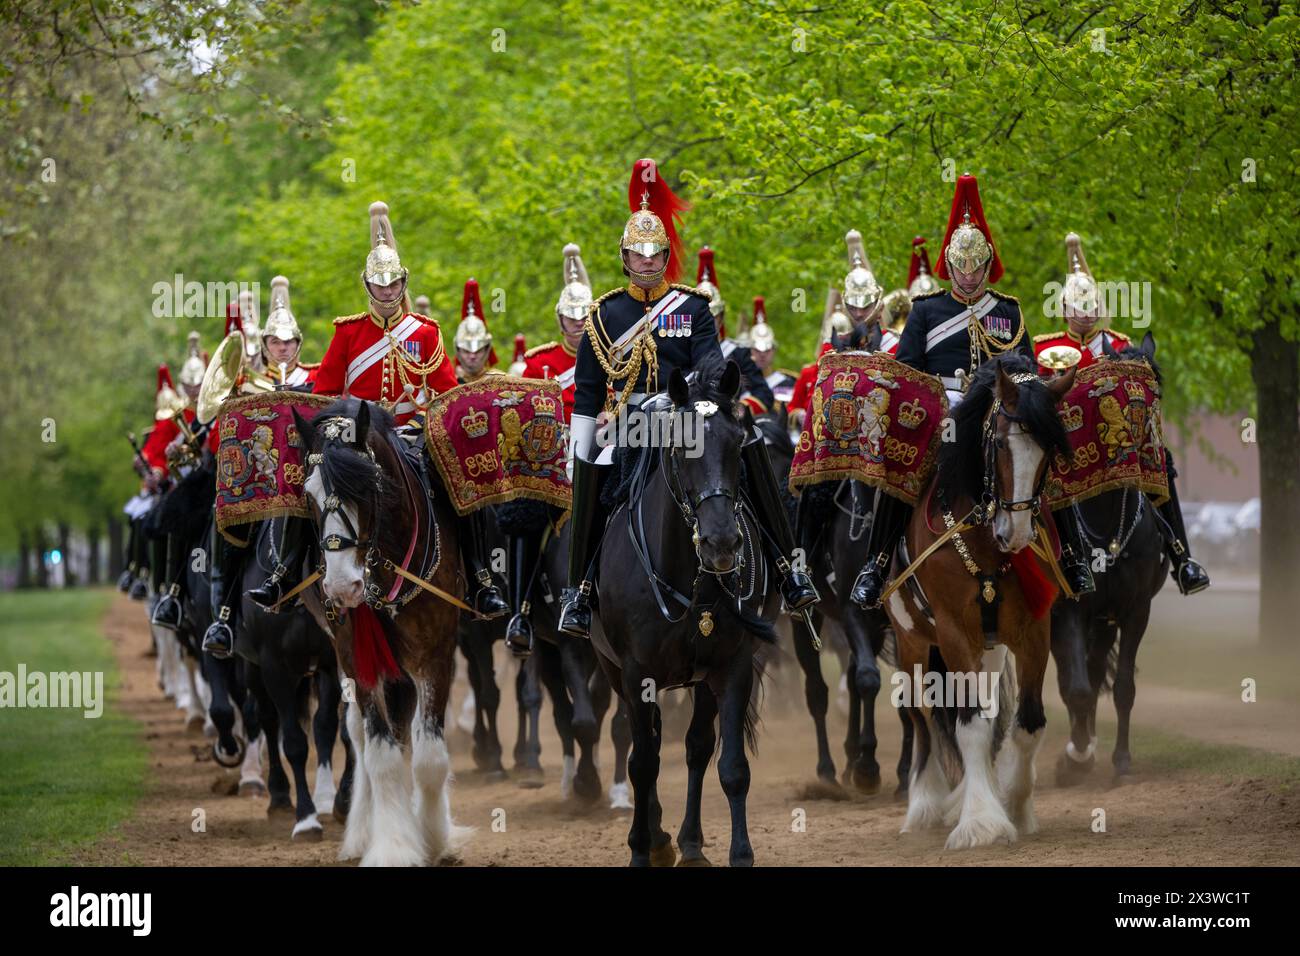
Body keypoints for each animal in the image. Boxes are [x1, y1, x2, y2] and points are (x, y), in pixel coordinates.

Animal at [296, 395, 473, 868]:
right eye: (308, 493)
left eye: (369, 486)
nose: (342, 587)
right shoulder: (359, 659)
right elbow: (381, 755)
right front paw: (393, 845)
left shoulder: (435, 656)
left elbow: (429, 758)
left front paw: (434, 837)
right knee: (360, 734)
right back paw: (362, 831)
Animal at [595, 358, 774, 868]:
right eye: (680, 446)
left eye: (738, 443)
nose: (723, 544)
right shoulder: (635, 672)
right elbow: (642, 762)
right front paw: (640, 849)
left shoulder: (732, 666)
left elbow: (730, 766)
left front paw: (740, 854)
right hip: (613, 669)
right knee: (647, 746)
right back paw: (654, 837)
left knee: (695, 747)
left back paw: (689, 842)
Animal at [883, 356, 1076, 848]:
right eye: (1000, 445)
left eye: (1048, 452)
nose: (1017, 535)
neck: (985, 543)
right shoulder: (954, 632)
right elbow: (967, 727)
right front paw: (982, 822)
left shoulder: (1032, 632)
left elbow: (1027, 724)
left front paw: (1015, 807)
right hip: (913, 643)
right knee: (922, 717)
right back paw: (925, 804)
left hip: (989, 652)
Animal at [1050, 332, 1175, 780]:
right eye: (1114, 392)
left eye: (1157, 389)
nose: (1144, 447)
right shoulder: (1066, 609)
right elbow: (1076, 689)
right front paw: (1074, 756)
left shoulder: (1135, 609)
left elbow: (1122, 688)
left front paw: (1120, 758)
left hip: (1104, 621)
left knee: (1095, 663)